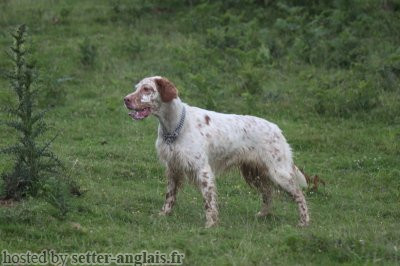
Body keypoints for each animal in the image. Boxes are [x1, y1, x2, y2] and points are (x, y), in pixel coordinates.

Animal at [123, 76, 310, 228]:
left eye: (147, 89)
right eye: (137, 87)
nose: (125, 99)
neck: (174, 126)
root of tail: (277, 129)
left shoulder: (203, 170)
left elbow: (208, 201)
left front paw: (211, 224)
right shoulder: (173, 167)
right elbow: (170, 196)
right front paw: (164, 214)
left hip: (279, 172)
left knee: (299, 195)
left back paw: (304, 222)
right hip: (253, 172)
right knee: (268, 193)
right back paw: (263, 215)